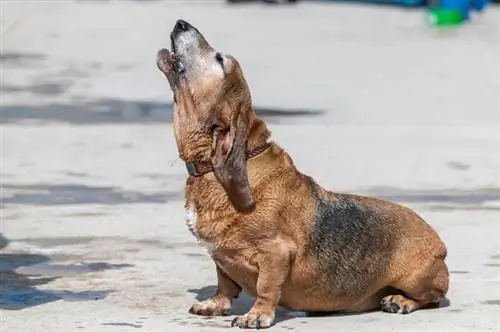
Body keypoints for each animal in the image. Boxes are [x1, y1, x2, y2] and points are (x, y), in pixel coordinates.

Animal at [157, 19, 450, 328]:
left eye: (220, 60)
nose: (181, 23)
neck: (214, 170)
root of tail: (438, 242)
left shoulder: (276, 254)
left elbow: (266, 287)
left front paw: (257, 315)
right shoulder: (221, 260)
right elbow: (224, 283)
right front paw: (215, 304)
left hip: (416, 279)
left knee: (433, 297)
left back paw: (401, 301)